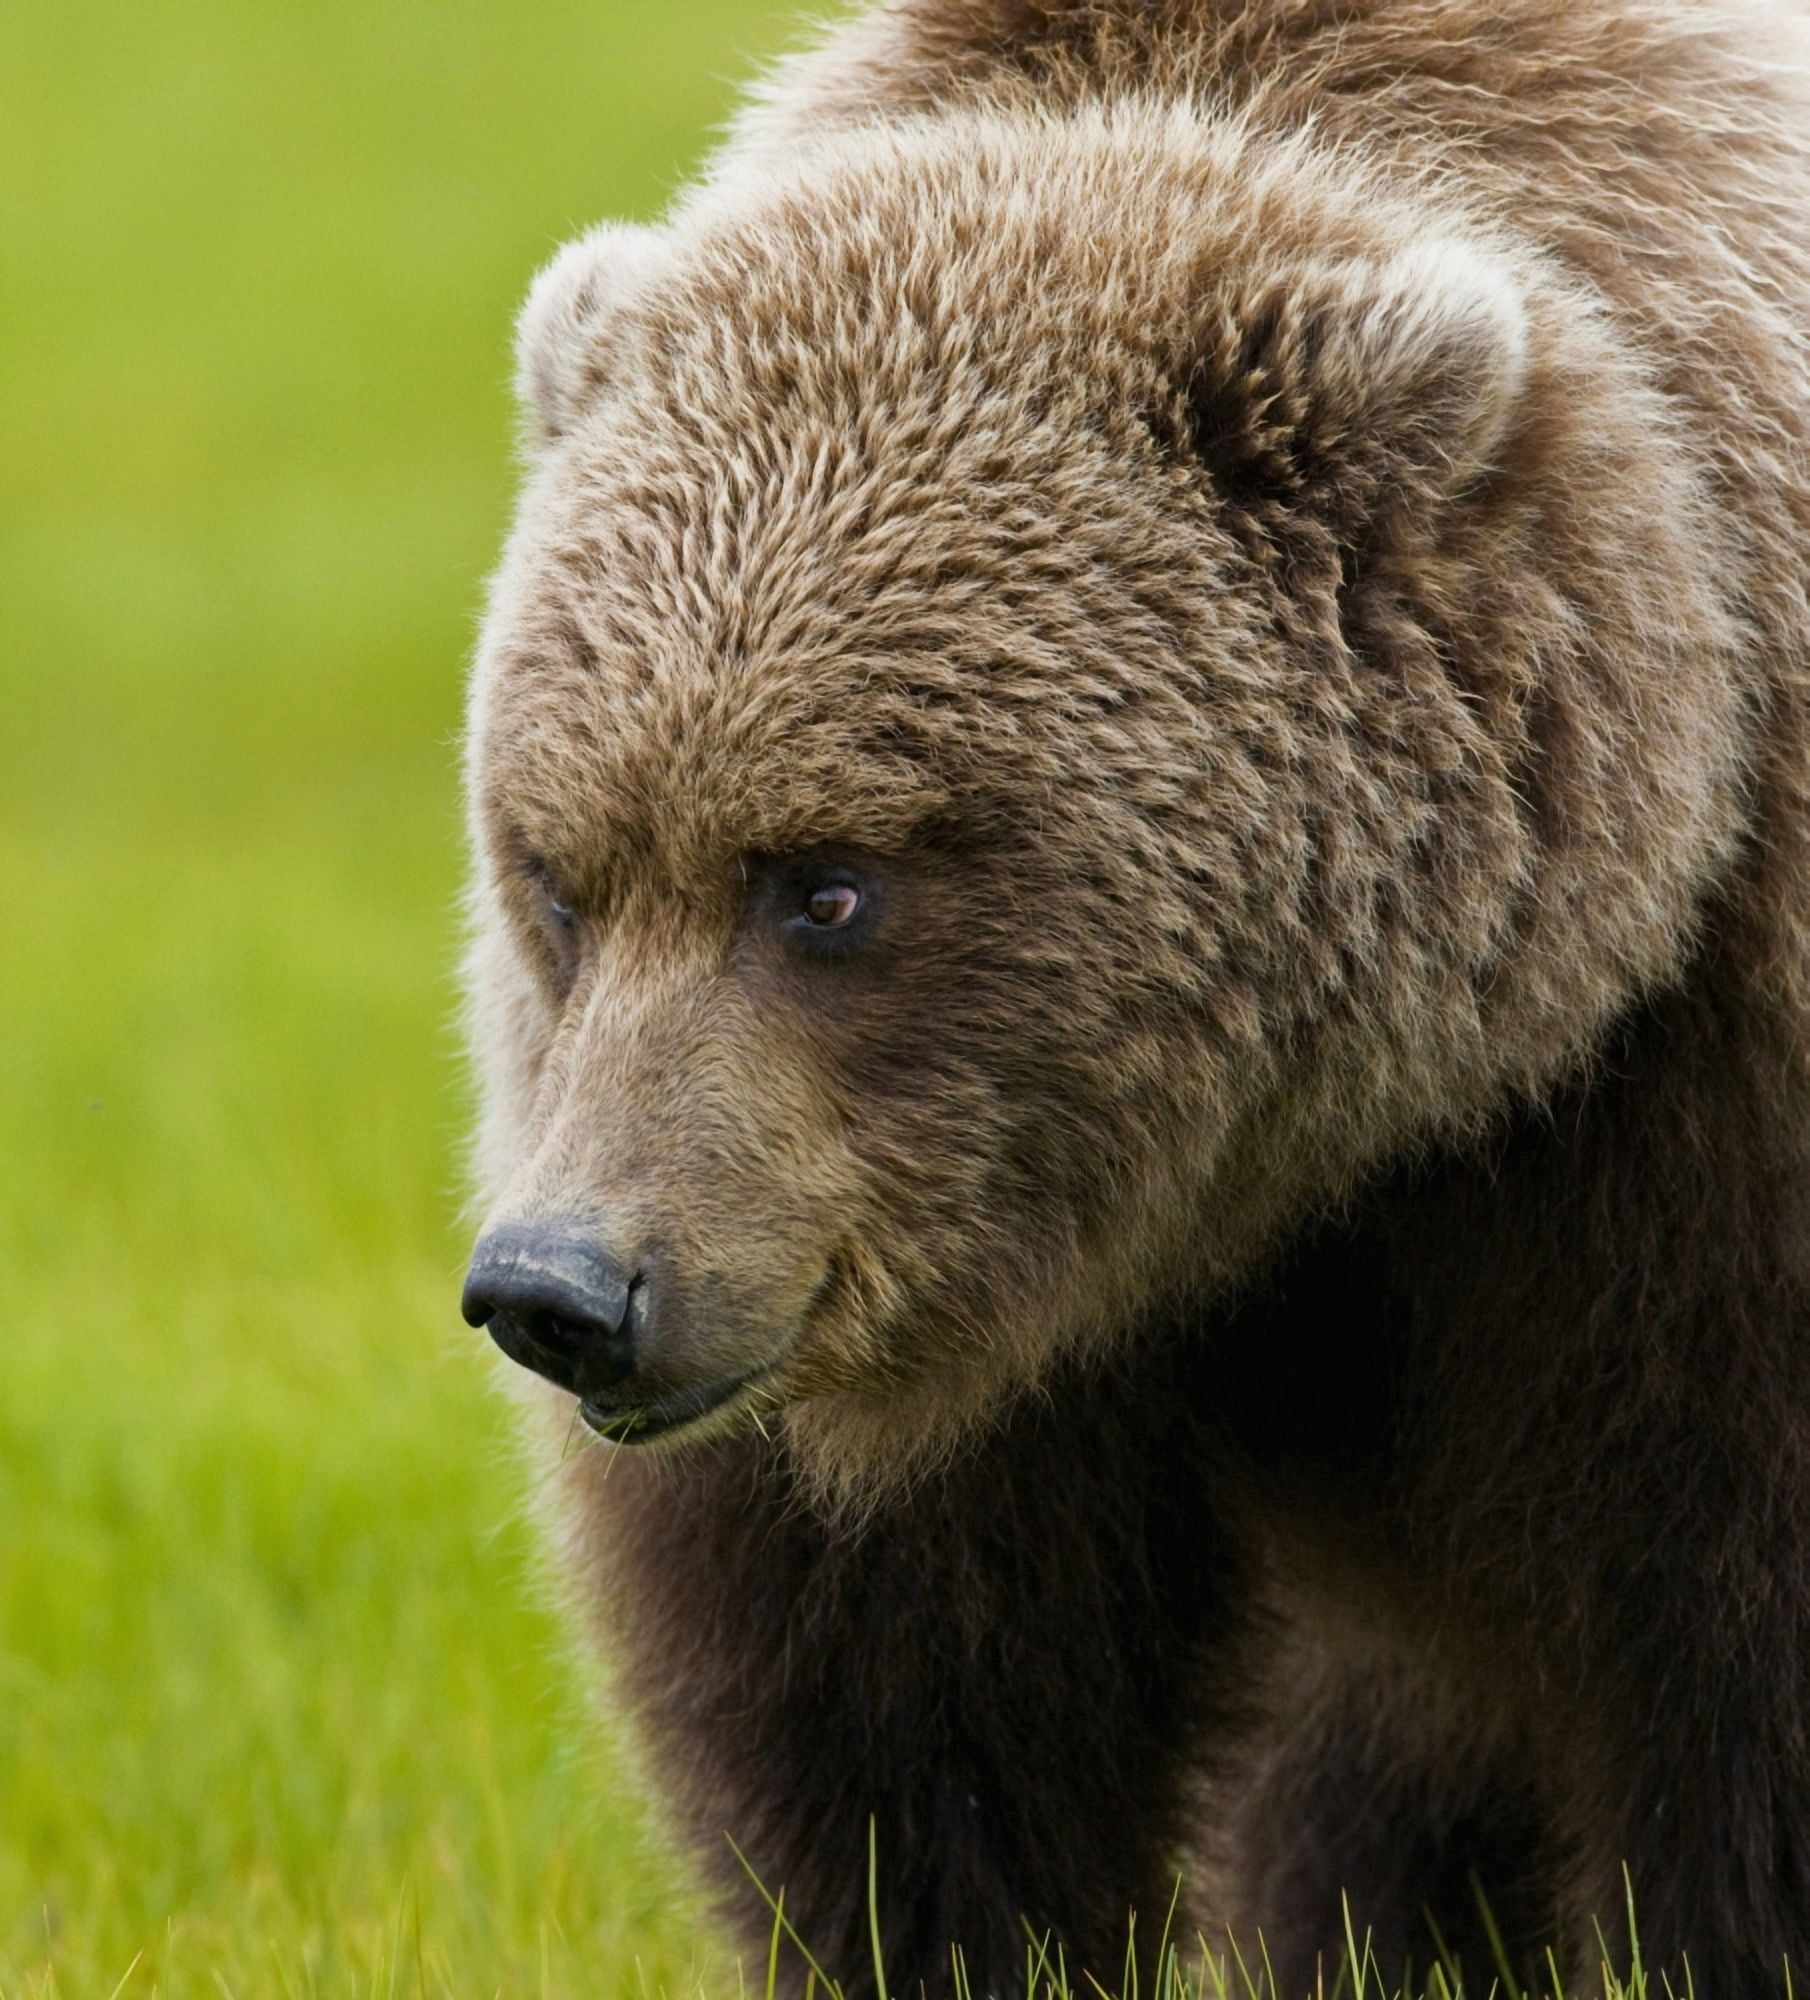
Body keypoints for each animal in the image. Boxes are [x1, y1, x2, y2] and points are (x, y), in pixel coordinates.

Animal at [460, 0, 1810, 1992]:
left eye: (828, 887)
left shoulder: (1699, 1124)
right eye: (557, 874)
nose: (562, 1290)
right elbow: (899, 1723)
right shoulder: (931, 1323)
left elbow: (1737, 1686)